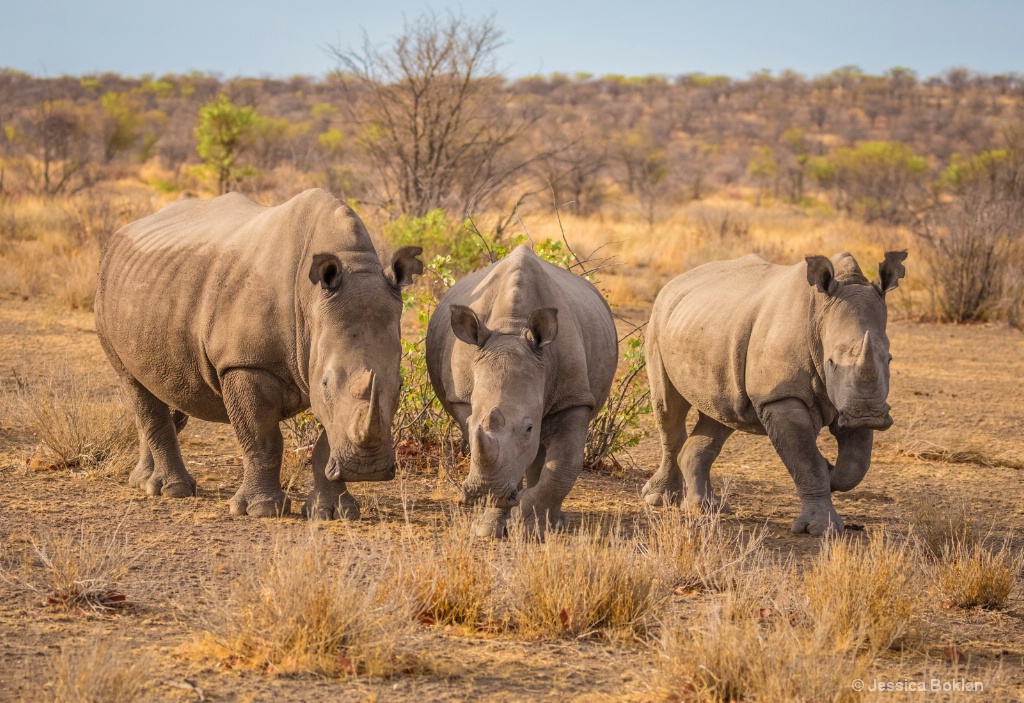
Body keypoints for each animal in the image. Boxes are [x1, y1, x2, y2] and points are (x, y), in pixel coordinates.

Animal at [92, 189, 419, 519]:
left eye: (400, 385)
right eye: (326, 383)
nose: (366, 470)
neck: (313, 301)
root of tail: (122, 234)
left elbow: (327, 438)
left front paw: (334, 512)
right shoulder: (246, 363)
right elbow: (263, 439)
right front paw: (261, 510)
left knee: (164, 382)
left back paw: (143, 481)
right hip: (105, 290)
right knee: (134, 382)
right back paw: (172, 490)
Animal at [423, 244, 614, 536]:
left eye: (528, 428)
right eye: (471, 422)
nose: (485, 491)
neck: (511, 328)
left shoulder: (573, 398)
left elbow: (562, 466)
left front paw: (529, 526)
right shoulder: (463, 399)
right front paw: (489, 527)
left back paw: (551, 523)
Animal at [643, 251, 909, 532]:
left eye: (889, 359)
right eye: (831, 362)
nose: (868, 415)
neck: (820, 316)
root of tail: (674, 281)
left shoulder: (851, 400)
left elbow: (854, 466)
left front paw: (830, 470)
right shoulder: (781, 398)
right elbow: (807, 461)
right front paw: (820, 528)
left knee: (720, 414)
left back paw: (706, 508)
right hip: (659, 318)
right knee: (668, 406)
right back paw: (660, 500)